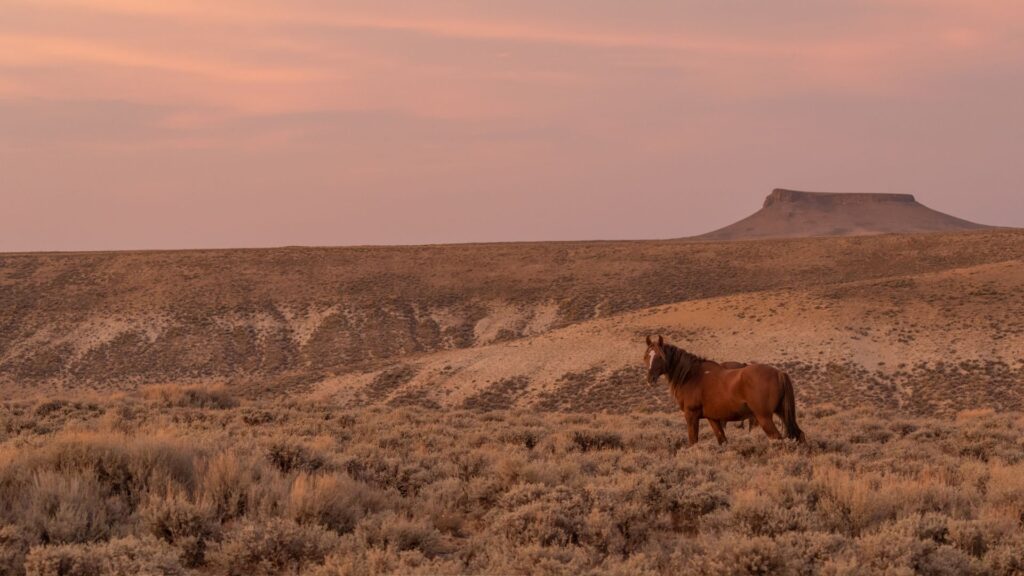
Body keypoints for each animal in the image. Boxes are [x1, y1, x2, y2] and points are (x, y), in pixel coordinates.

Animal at [643, 332, 802, 444]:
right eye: (646, 357)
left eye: (660, 357)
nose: (650, 379)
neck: (691, 376)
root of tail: (779, 373)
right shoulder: (713, 418)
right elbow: (722, 440)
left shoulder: (691, 415)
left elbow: (693, 442)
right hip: (781, 413)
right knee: (799, 435)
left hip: (764, 417)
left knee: (778, 439)